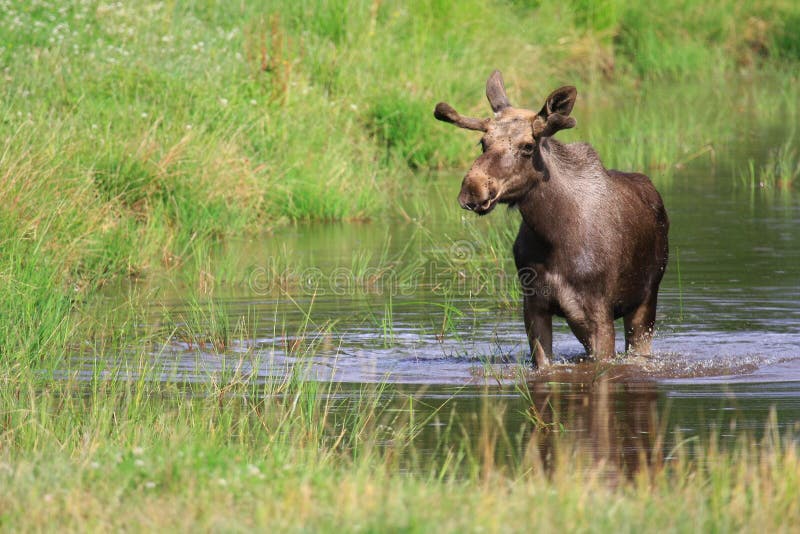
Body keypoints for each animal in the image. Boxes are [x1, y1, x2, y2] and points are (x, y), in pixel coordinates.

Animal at [432, 71, 668, 368]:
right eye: (483, 143)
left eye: (528, 146)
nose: (473, 189)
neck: (553, 236)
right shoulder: (535, 307)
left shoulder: (599, 312)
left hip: (646, 300)